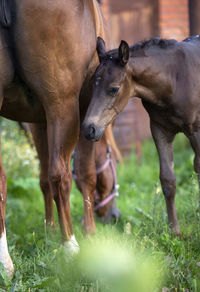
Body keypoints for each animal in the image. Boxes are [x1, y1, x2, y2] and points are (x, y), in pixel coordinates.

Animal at [0, 0, 110, 278]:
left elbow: (42, 179)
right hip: (61, 102)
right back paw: (70, 246)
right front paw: (90, 234)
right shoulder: (84, 110)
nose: (113, 215)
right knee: (60, 174)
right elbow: (85, 175)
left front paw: (49, 229)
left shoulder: (37, 122)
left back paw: (5, 264)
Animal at [82, 35, 200, 236]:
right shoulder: (160, 129)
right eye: (91, 84)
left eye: (114, 89)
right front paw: (174, 231)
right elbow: (167, 180)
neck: (175, 78)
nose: (89, 128)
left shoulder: (196, 131)